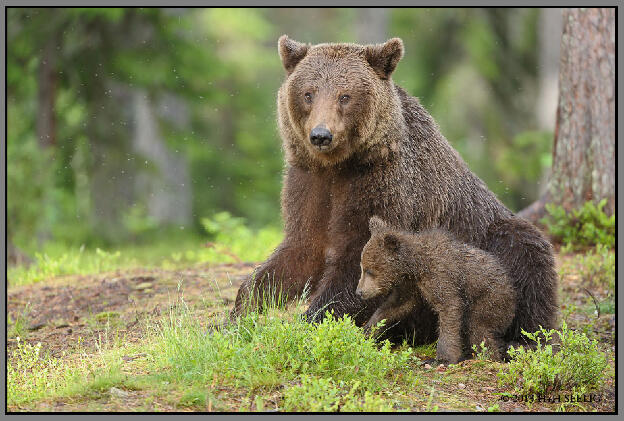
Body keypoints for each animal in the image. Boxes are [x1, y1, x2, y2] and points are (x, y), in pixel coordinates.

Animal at [230, 36, 560, 344]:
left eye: (345, 96)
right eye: (308, 93)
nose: (321, 135)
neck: (340, 166)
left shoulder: (383, 185)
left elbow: (361, 259)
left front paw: (304, 324)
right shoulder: (309, 181)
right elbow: (300, 250)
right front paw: (237, 317)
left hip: (489, 235)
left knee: (525, 254)